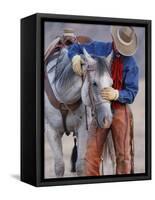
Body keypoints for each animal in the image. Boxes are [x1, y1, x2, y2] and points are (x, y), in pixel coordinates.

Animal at [44, 48, 112, 177]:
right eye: (94, 83)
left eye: (111, 84)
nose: (107, 119)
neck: (63, 98)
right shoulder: (51, 130)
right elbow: (59, 166)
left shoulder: (83, 130)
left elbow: (80, 166)